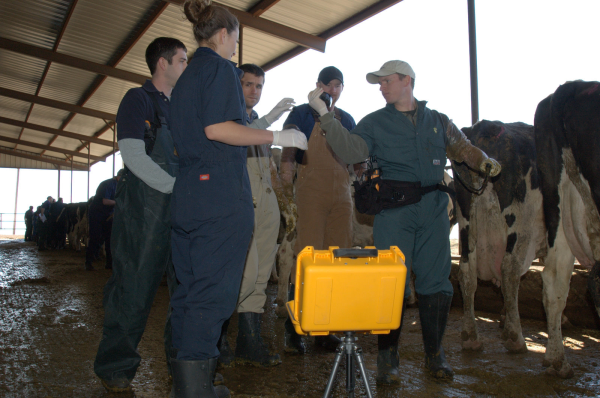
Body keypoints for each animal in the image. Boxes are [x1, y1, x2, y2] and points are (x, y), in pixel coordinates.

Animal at [454, 120, 548, 358]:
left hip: (467, 222)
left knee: (467, 274)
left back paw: (471, 337)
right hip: (522, 224)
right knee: (510, 270)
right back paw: (516, 338)